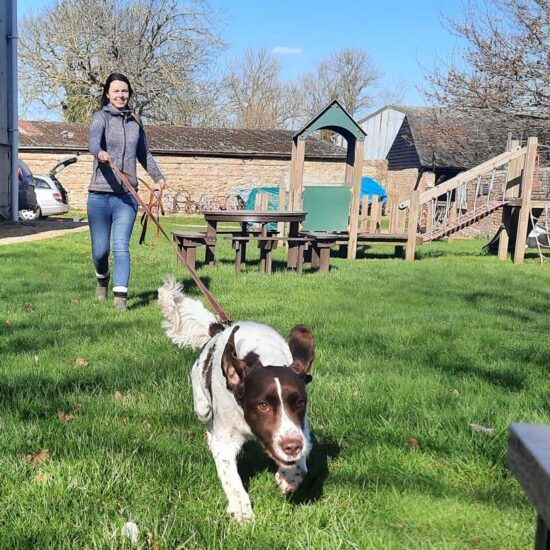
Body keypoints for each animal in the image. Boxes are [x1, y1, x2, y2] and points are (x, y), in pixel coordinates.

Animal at [157, 280, 316, 520]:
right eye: (262, 405)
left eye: (299, 402)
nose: (292, 447)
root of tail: (218, 331)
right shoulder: (225, 438)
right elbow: (231, 478)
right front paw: (241, 511)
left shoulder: (302, 428)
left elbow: (301, 465)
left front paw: (288, 477)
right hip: (201, 404)